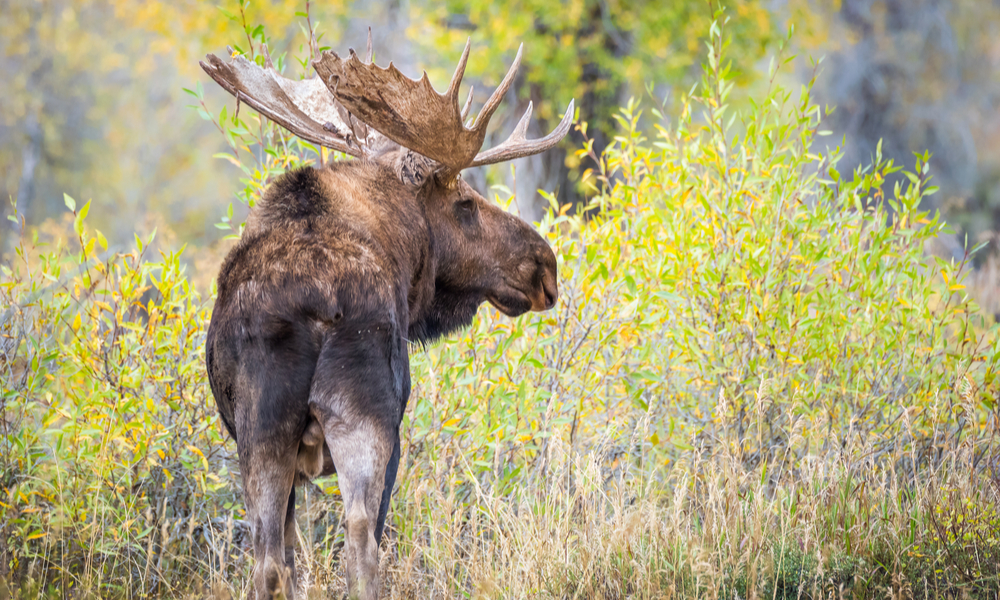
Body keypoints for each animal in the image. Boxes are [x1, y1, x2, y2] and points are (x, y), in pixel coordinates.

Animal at [201, 31, 572, 600]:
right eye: (466, 203)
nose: (544, 266)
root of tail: (314, 307)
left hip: (261, 428)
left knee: (267, 560)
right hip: (367, 415)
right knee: (361, 539)